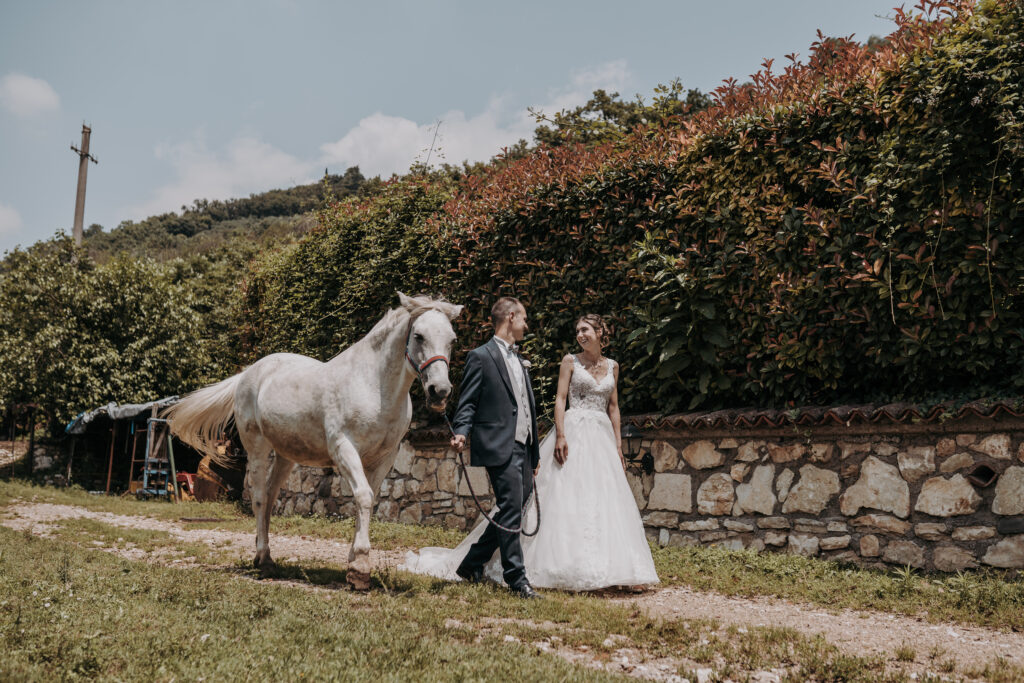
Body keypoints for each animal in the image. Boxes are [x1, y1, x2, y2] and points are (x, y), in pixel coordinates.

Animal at [164, 294, 464, 589]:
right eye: (419, 336)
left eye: (452, 339)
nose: (440, 391)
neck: (373, 386)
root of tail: (247, 373)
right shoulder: (344, 449)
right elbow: (363, 497)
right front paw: (360, 567)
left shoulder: (384, 457)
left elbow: (368, 499)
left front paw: (354, 565)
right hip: (257, 447)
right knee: (259, 497)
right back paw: (262, 558)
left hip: (286, 455)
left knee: (270, 497)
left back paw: (266, 556)